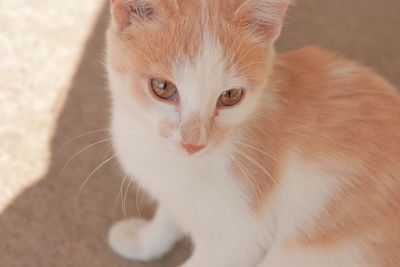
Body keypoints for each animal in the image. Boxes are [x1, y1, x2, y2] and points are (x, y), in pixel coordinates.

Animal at [106, 0, 400, 267]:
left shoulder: (240, 238)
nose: (193, 144)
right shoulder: (174, 193)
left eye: (231, 96)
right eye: (162, 87)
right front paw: (143, 241)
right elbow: (168, 215)